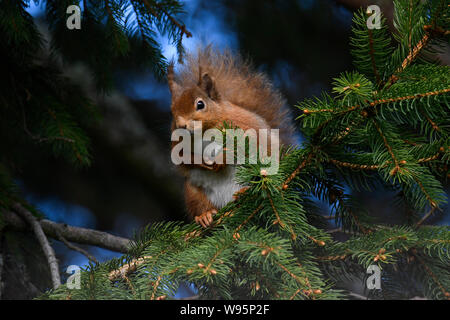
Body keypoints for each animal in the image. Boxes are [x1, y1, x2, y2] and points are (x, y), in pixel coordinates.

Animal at [167, 47, 294, 228]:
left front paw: (223, 156)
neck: (203, 132)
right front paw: (203, 160)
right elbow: (182, 158)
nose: (181, 125)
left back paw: (244, 192)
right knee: (200, 204)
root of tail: (225, 203)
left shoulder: (245, 127)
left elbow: (251, 144)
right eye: (172, 111)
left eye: (200, 104)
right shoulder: (177, 144)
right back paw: (205, 215)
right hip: (193, 191)